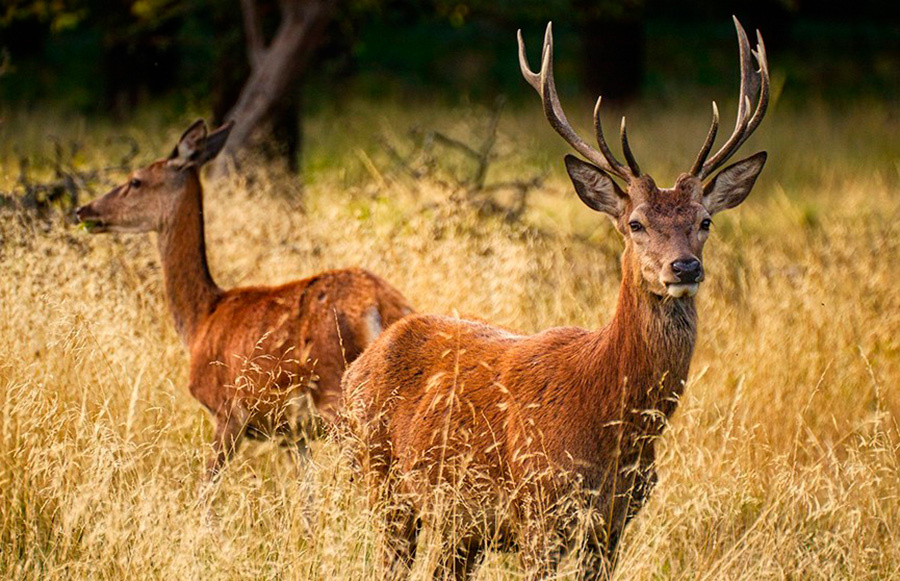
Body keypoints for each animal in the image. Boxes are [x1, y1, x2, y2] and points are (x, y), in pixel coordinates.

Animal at [75, 119, 414, 480]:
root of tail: (379, 306)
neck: (200, 320)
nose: (83, 210)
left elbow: (206, 485)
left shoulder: (227, 411)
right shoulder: (293, 434)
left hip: (335, 391)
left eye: (135, 180)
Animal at [344, 18, 772, 580]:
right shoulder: (538, 511)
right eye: (636, 223)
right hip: (383, 483)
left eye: (705, 221)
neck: (613, 427)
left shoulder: (614, 524)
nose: (684, 267)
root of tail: (359, 365)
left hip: (459, 526)